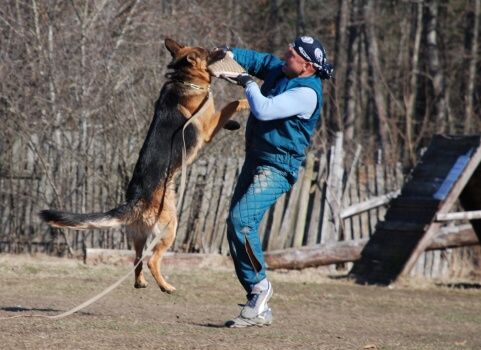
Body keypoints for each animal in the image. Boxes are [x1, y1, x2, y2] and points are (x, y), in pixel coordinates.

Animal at [39, 38, 249, 292]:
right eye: (207, 52)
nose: (223, 48)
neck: (184, 79)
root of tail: (136, 199)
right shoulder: (208, 127)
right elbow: (233, 103)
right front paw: (249, 99)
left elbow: (227, 113)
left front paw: (234, 123)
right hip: (170, 228)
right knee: (152, 260)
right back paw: (166, 286)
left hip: (140, 235)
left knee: (137, 259)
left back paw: (140, 282)